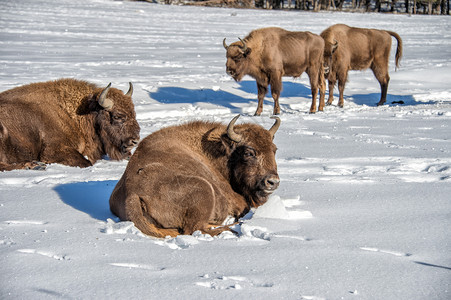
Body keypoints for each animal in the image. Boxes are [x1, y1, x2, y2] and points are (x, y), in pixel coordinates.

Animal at [0, 78, 140, 171]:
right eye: (117, 116)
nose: (135, 141)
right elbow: (86, 162)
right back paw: (34, 166)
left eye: (134, 113)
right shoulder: (53, 150)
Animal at [109, 115, 280, 239]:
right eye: (248, 153)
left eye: (274, 149)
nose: (273, 182)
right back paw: (230, 229)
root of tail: (132, 194)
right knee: (194, 229)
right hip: (204, 188)